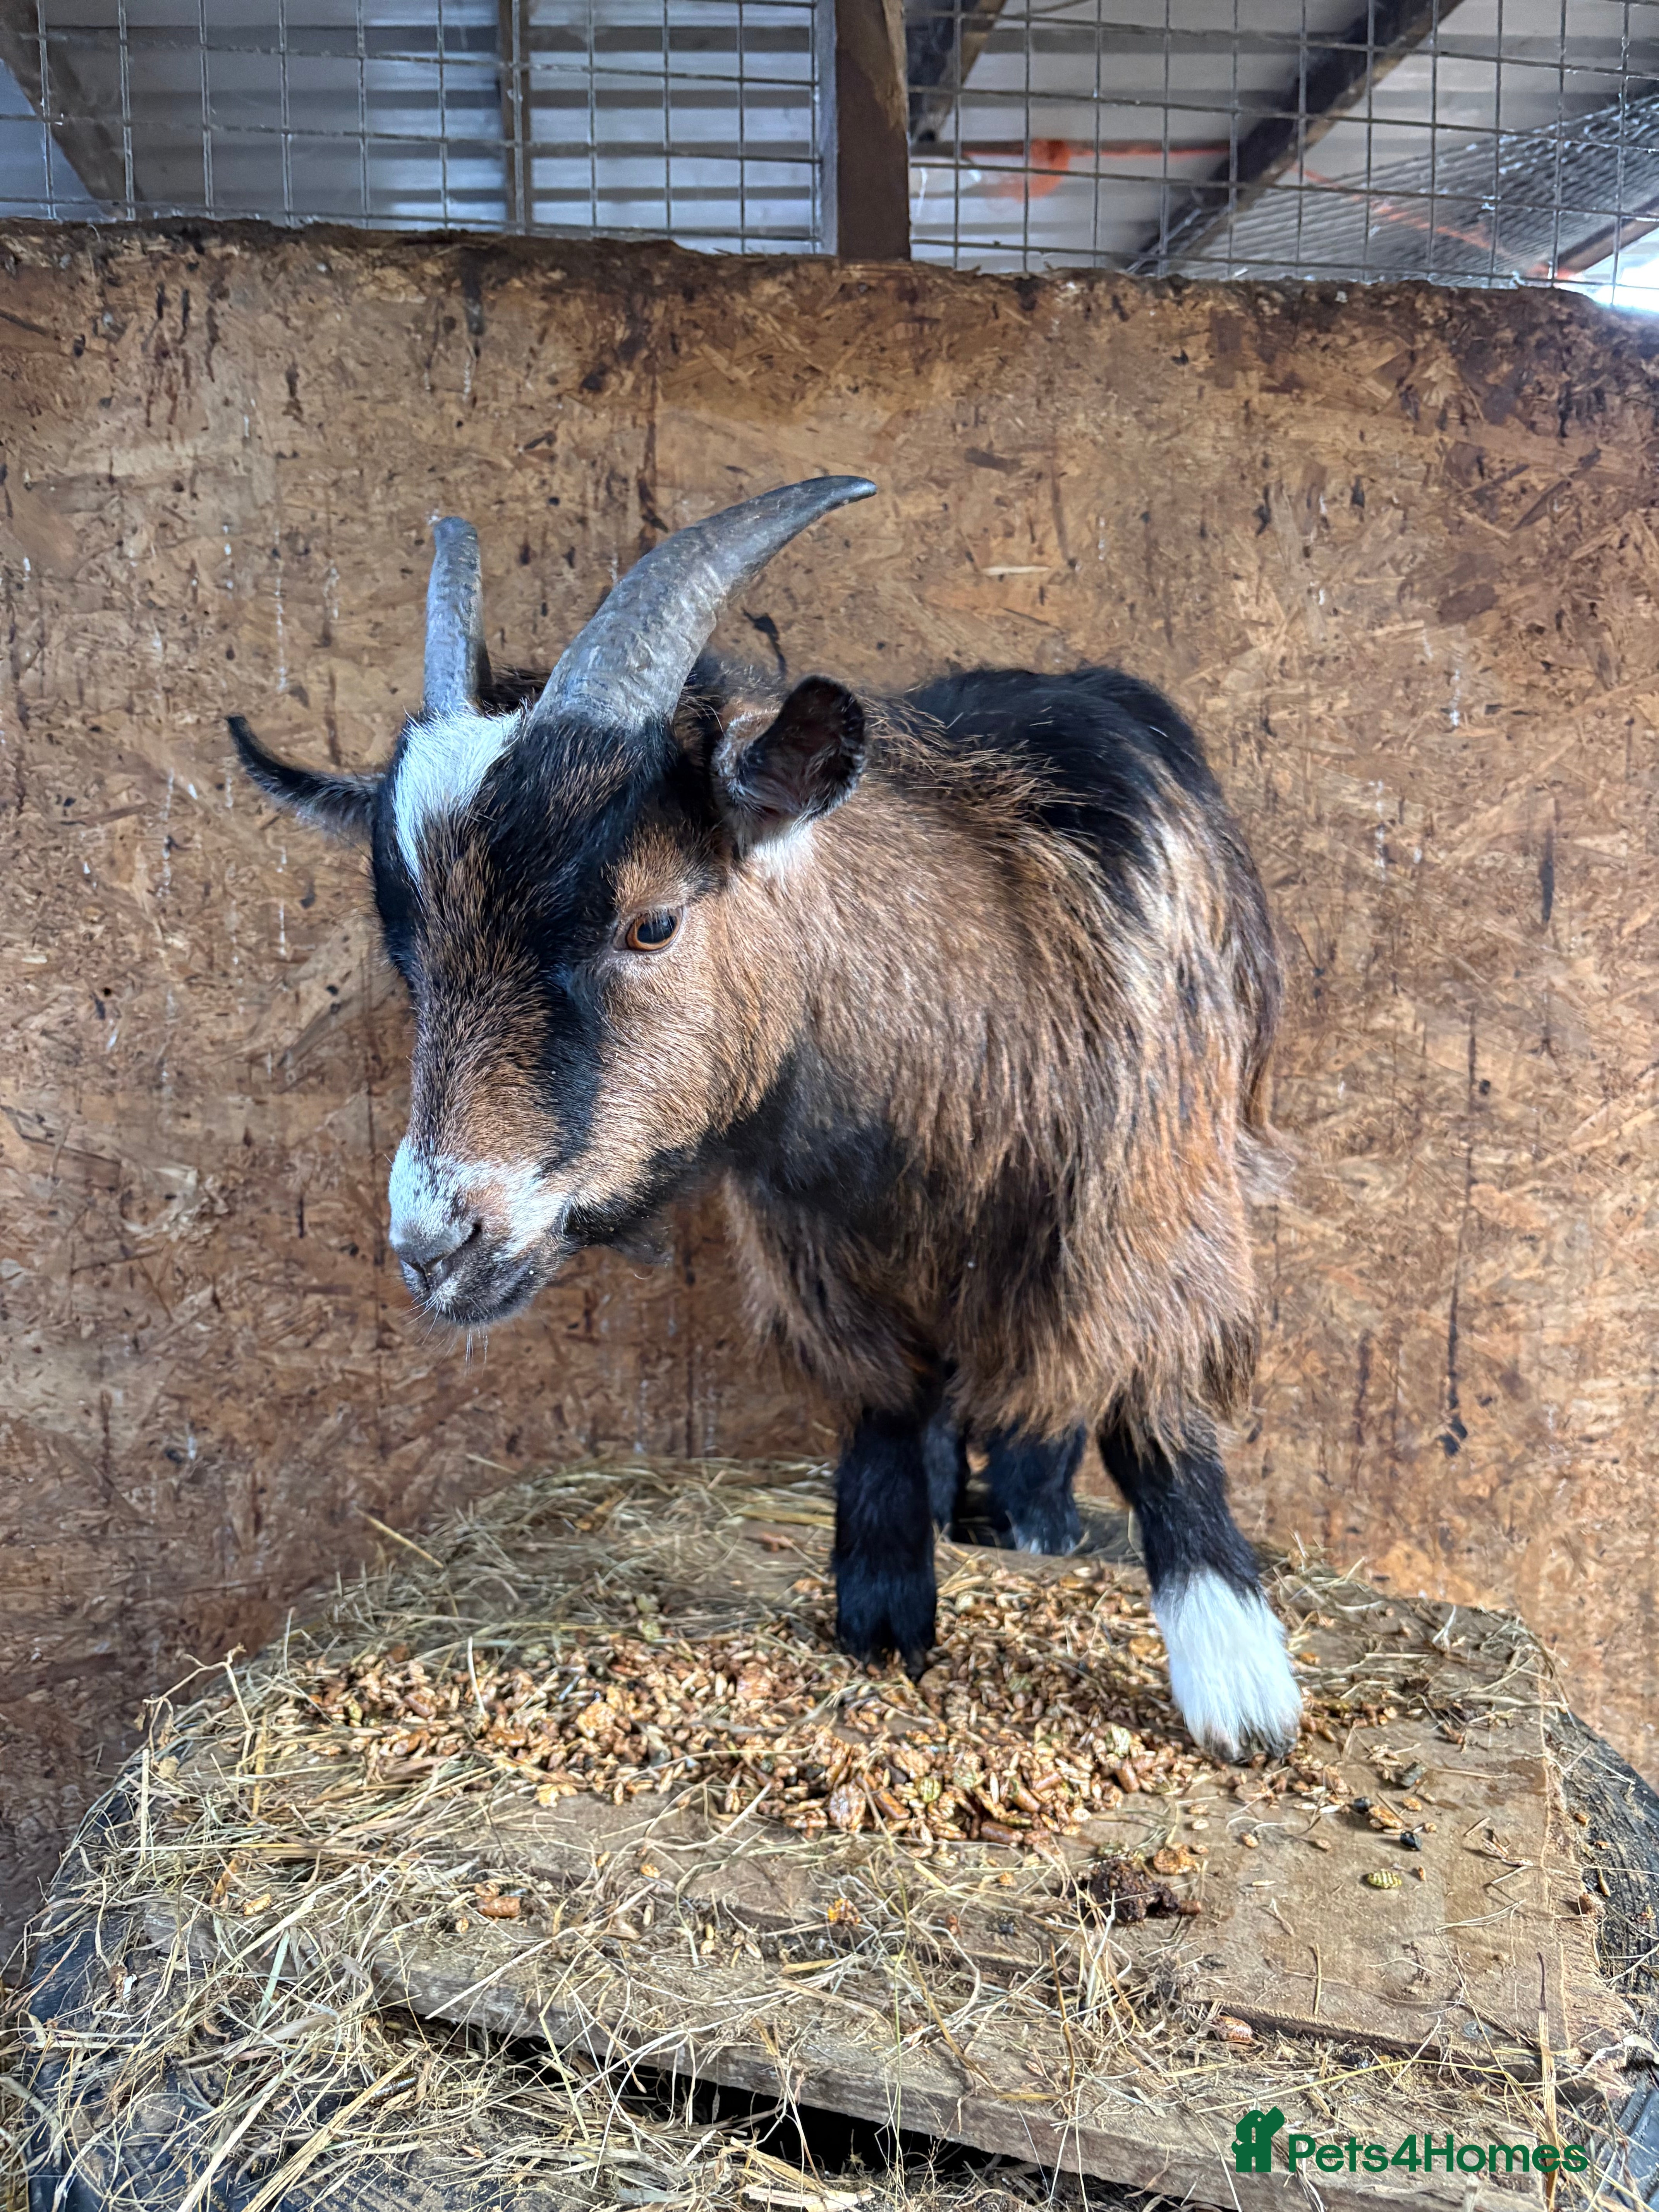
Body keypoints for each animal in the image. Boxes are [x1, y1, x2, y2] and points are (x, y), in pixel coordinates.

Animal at [231, 478, 1300, 1758]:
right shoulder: (822, 1242)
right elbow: (884, 1400)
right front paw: (882, 1607)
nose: (436, 1243)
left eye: (650, 923)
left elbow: (1156, 1408)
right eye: (409, 952)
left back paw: (1036, 1511)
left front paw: (1237, 1677)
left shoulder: (1157, 1196)